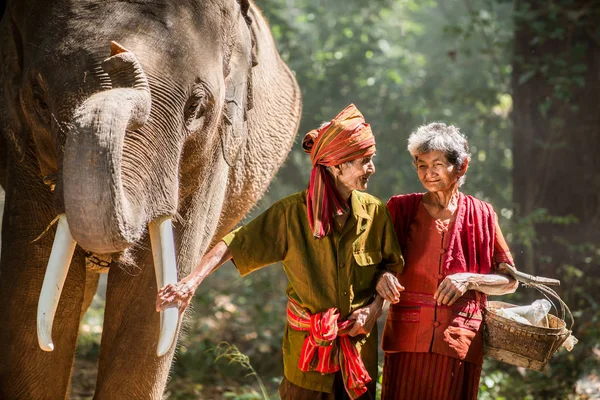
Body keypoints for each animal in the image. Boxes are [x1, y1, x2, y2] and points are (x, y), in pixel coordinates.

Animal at [0, 0, 300, 396]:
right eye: (39, 101)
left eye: (196, 106)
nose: (118, 55)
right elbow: (30, 282)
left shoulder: (214, 153)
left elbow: (147, 301)